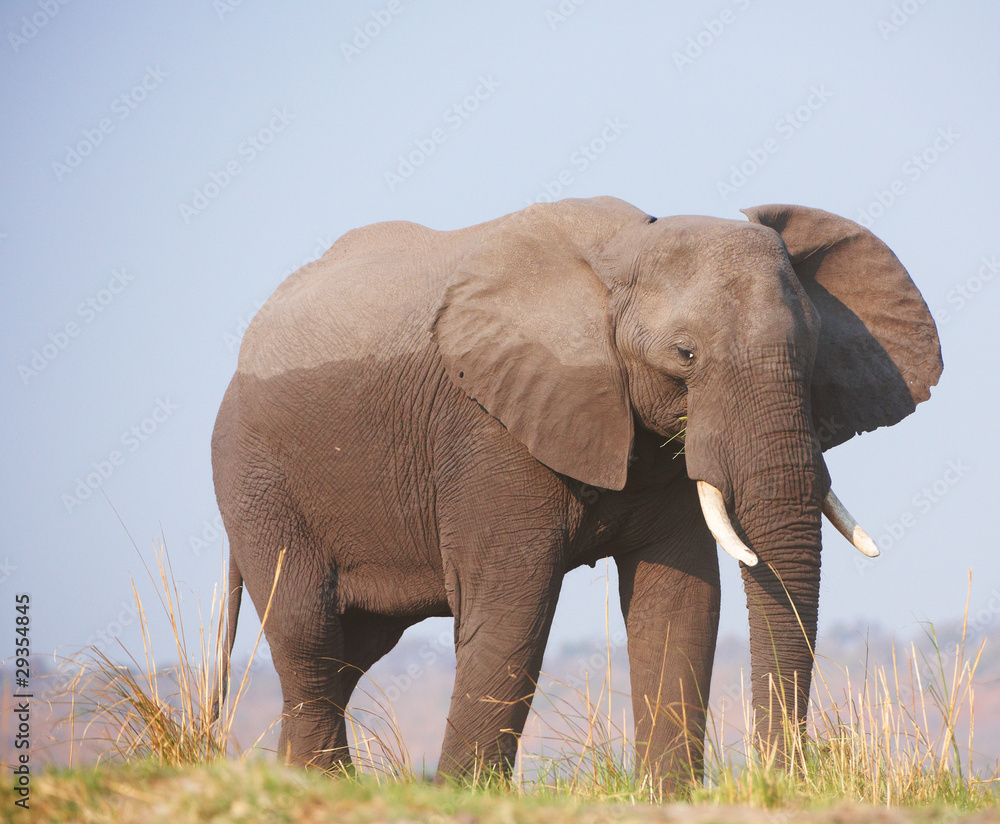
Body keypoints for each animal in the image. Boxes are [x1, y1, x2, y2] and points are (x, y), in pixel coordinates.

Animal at [211, 196, 941, 790]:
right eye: (685, 355)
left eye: (812, 354)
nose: (780, 777)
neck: (622, 259)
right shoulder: (493, 429)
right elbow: (513, 607)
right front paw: (463, 796)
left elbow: (681, 600)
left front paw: (667, 798)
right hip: (255, 478)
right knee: (307, 629)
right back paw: (320, 783)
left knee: (351, 649)